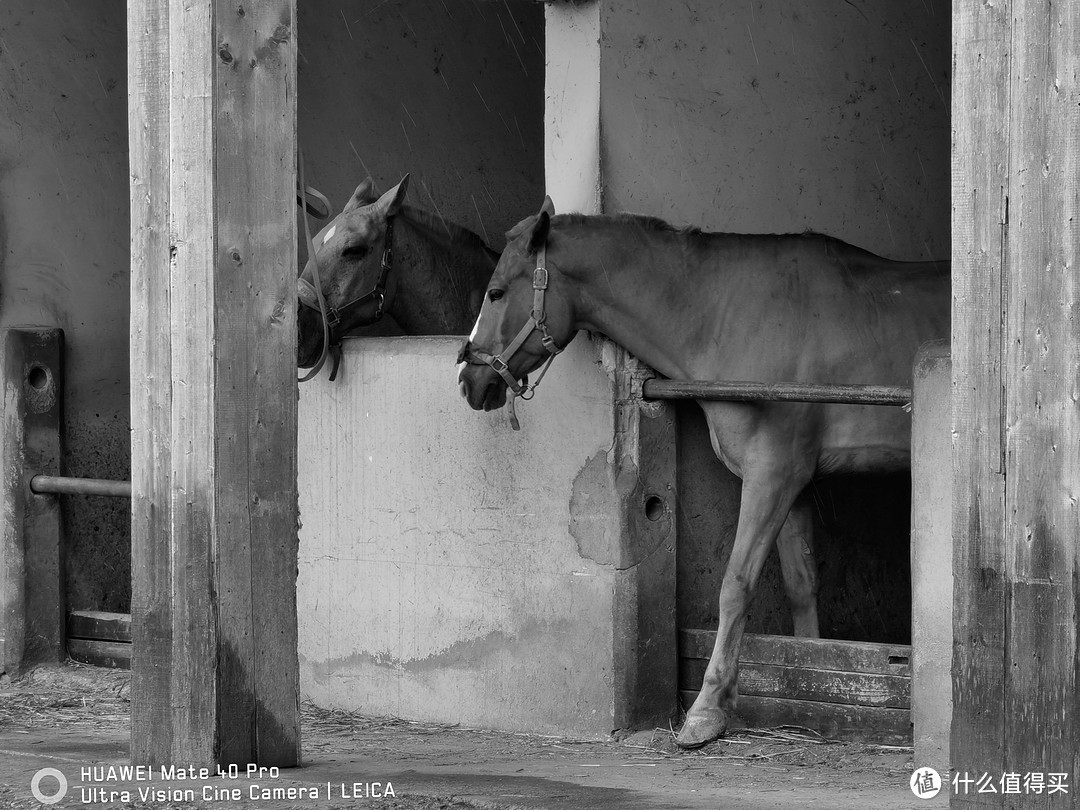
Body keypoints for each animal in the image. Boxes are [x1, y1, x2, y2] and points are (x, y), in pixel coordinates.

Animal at [460, 196, 950, 747]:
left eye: (497, 292)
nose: (469, 377)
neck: (728, 316)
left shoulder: (771, 475)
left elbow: (735, 586)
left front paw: (707, 709)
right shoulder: (795, 481)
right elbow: (801, 584)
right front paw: (811, 677)